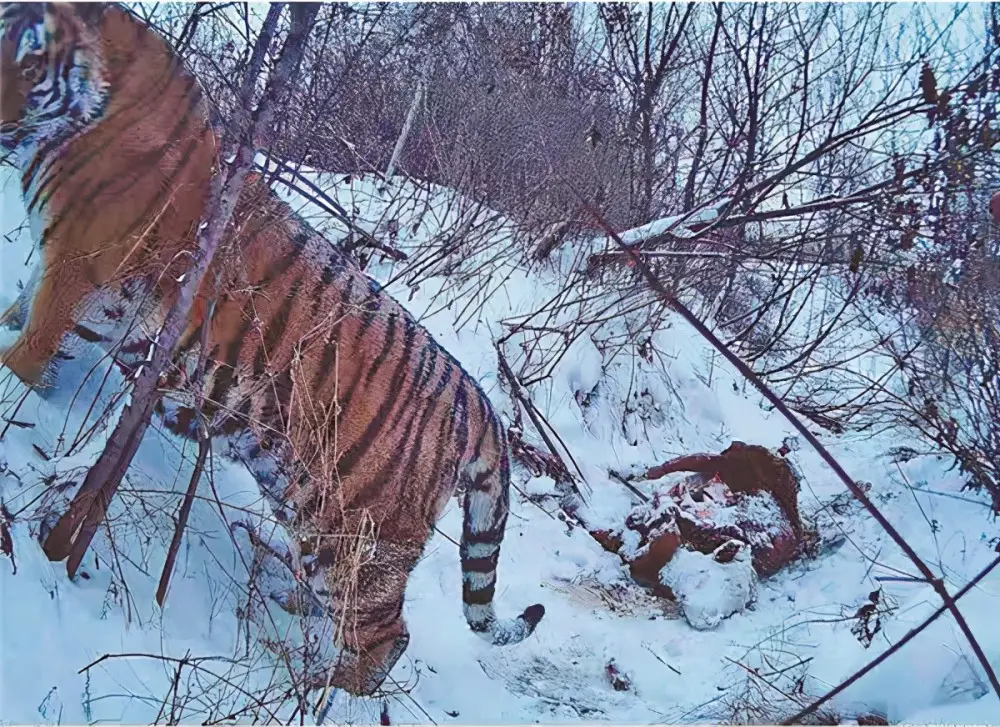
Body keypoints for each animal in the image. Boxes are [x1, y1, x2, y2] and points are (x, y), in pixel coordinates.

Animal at [0, 1, 544, 696]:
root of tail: (481, 403)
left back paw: (315, 687)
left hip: (353, 535)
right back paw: (291, 604)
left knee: (384, 636)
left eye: (27, 60)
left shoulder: (74, 276)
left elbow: (26, 350)